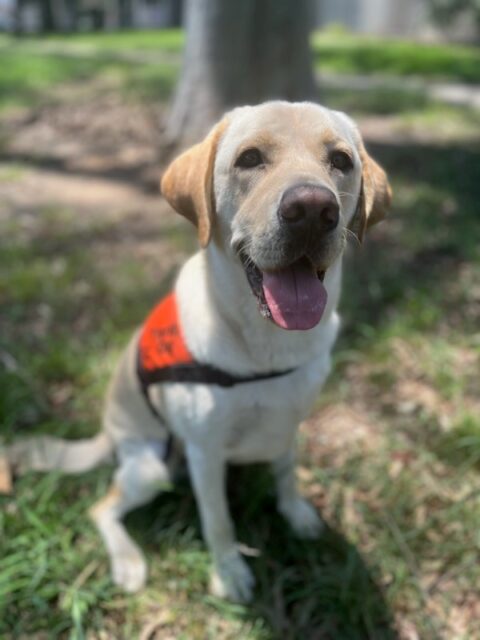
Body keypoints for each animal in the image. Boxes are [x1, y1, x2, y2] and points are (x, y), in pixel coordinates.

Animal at [6, 102, 390, 604]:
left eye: (341, 160)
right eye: (249, 158)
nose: (312, 209)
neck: (267, 347)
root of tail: (109, 434)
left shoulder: (289, 422)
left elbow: (286, 471)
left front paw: (295, 512)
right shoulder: (205, 452)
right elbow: (218, 519)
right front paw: (228, 572)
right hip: (151, 467)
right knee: (102, 508)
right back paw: (128, 561)